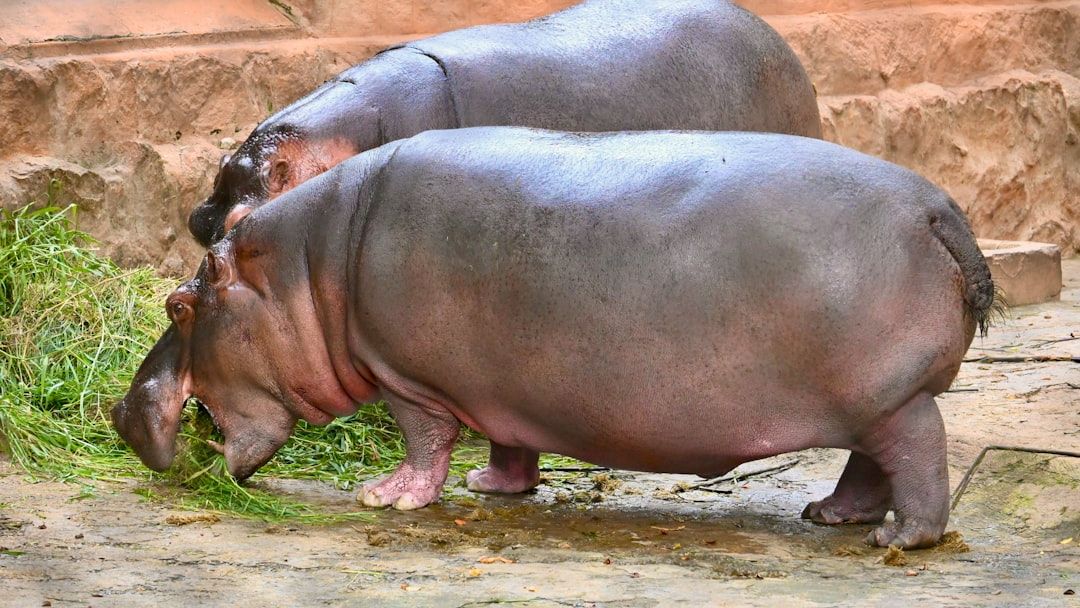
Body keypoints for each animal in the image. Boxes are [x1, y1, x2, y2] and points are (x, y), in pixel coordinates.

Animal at [114, 128, 994, 549]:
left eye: (178, 305)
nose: (120, 414)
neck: (309, 267)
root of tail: (937, 210)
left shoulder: (406, 377)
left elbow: (425, 440)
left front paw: (385, 496)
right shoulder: (499, 387)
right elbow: (509, 442)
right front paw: (492, 489)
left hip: (892, 398)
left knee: (919, 457)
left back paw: (900, 537)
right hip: (871, 399)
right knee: (869, 463)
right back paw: (829, 516)